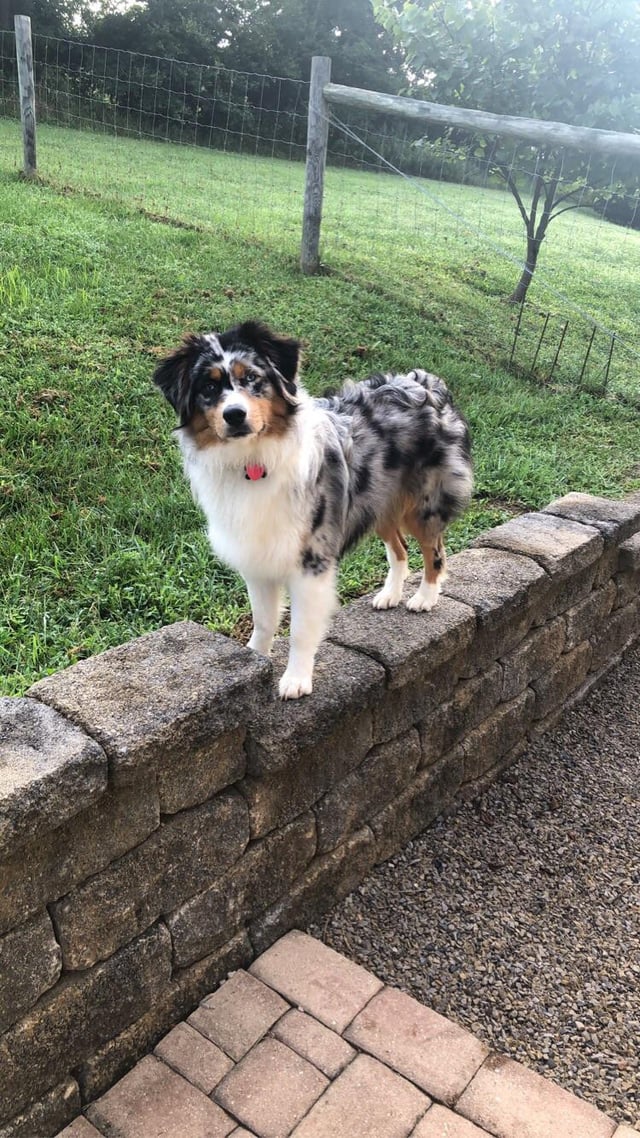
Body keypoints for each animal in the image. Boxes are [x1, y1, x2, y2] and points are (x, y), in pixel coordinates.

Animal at [152, 316, 471, 696]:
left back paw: (424, 598)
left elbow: (301, 630)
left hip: (423, 504)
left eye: (252, 378)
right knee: (400, 549)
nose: (234, 415)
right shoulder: (257, 554)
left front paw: (296, 678)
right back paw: (390, 594)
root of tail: (425, 382)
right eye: (209, 387)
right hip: (377, 500)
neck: (253, 460)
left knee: (434, 551)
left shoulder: (311, 560)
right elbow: (263, 619)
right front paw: (254, 659)